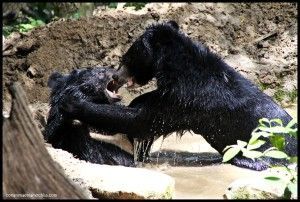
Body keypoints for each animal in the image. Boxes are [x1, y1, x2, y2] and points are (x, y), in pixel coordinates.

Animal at [58, 21, 296, 170]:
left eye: (126, 58)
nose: (115, 76)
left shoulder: (185, 100)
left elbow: (141, 120)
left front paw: (72, 103)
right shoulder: (170, 93)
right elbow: (143, 104)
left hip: (266, 147)